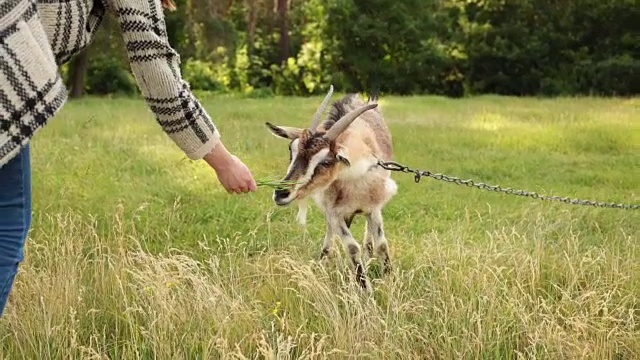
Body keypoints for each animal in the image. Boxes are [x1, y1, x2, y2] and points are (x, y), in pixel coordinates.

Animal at [264, 85, 396, 292]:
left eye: (326, 161)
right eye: (291, 150)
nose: (281, 193)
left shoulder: (373, 208)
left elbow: (382, 244)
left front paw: (390, 281)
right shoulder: (334, 211)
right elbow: (351, 247)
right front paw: (365, 289)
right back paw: (324, 259)